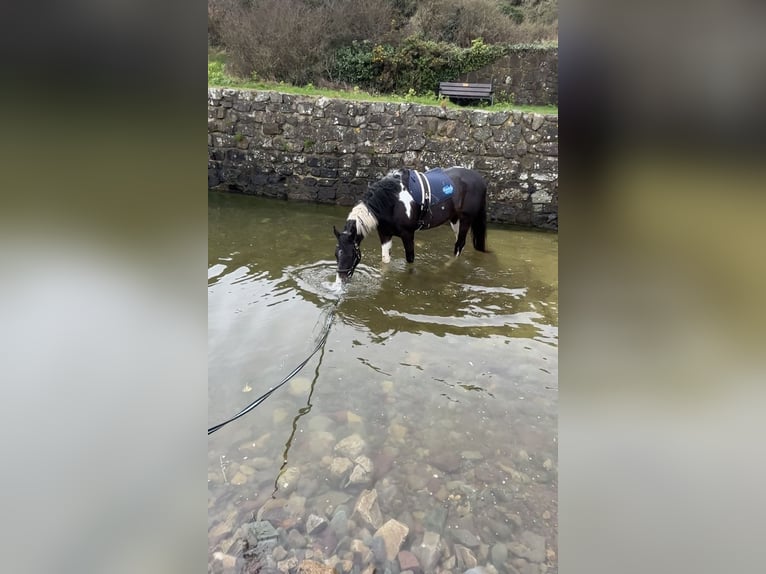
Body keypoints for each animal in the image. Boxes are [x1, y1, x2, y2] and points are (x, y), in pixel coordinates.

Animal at [333, 166, 488, 282]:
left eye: (351, 254)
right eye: (336, 254)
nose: (341, 280)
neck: (393, 200)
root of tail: (479, 178)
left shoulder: (407, 234)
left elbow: (410, 260)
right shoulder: (384, 234)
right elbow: (385, 262)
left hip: (466, 220)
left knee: (459, 245)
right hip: (455, 220)